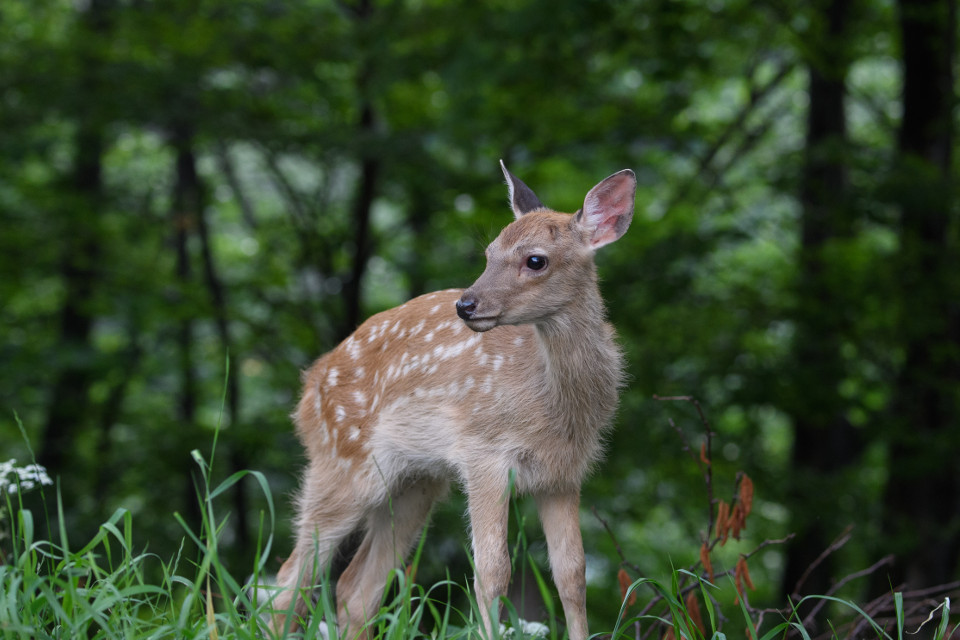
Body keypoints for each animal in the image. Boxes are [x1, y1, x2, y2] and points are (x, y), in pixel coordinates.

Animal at [271, 160, 636, 640]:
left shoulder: (563, 473)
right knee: (288, 580)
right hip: (341, 463)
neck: (554, 405)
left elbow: (572, 575)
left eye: (535, 260)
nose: (466, 305)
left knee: (354, 587)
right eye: (489, 252)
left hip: (416, 483)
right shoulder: (483, 453)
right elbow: (492, 572)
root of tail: (308, 388)